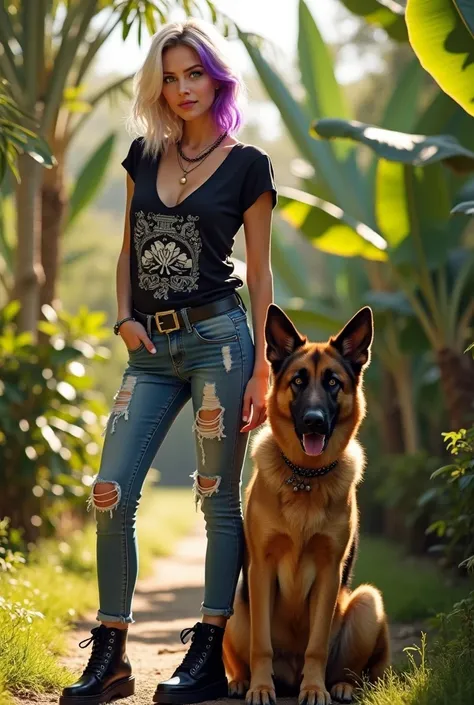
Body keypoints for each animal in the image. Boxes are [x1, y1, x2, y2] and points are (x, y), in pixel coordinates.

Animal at [222, 306, 388, 700]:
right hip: (234, 605)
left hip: (367, 602)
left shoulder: (329, 571)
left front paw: (314, 689)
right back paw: (241, 682)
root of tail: (289, 675)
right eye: (298, 381)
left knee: (351, 669)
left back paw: (339, 686)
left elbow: (317, 645)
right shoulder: (261, 568)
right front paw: (260, 688)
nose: (314, 422)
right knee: (242, 655)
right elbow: (261, 644)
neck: (306, 477)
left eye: (332, 383)